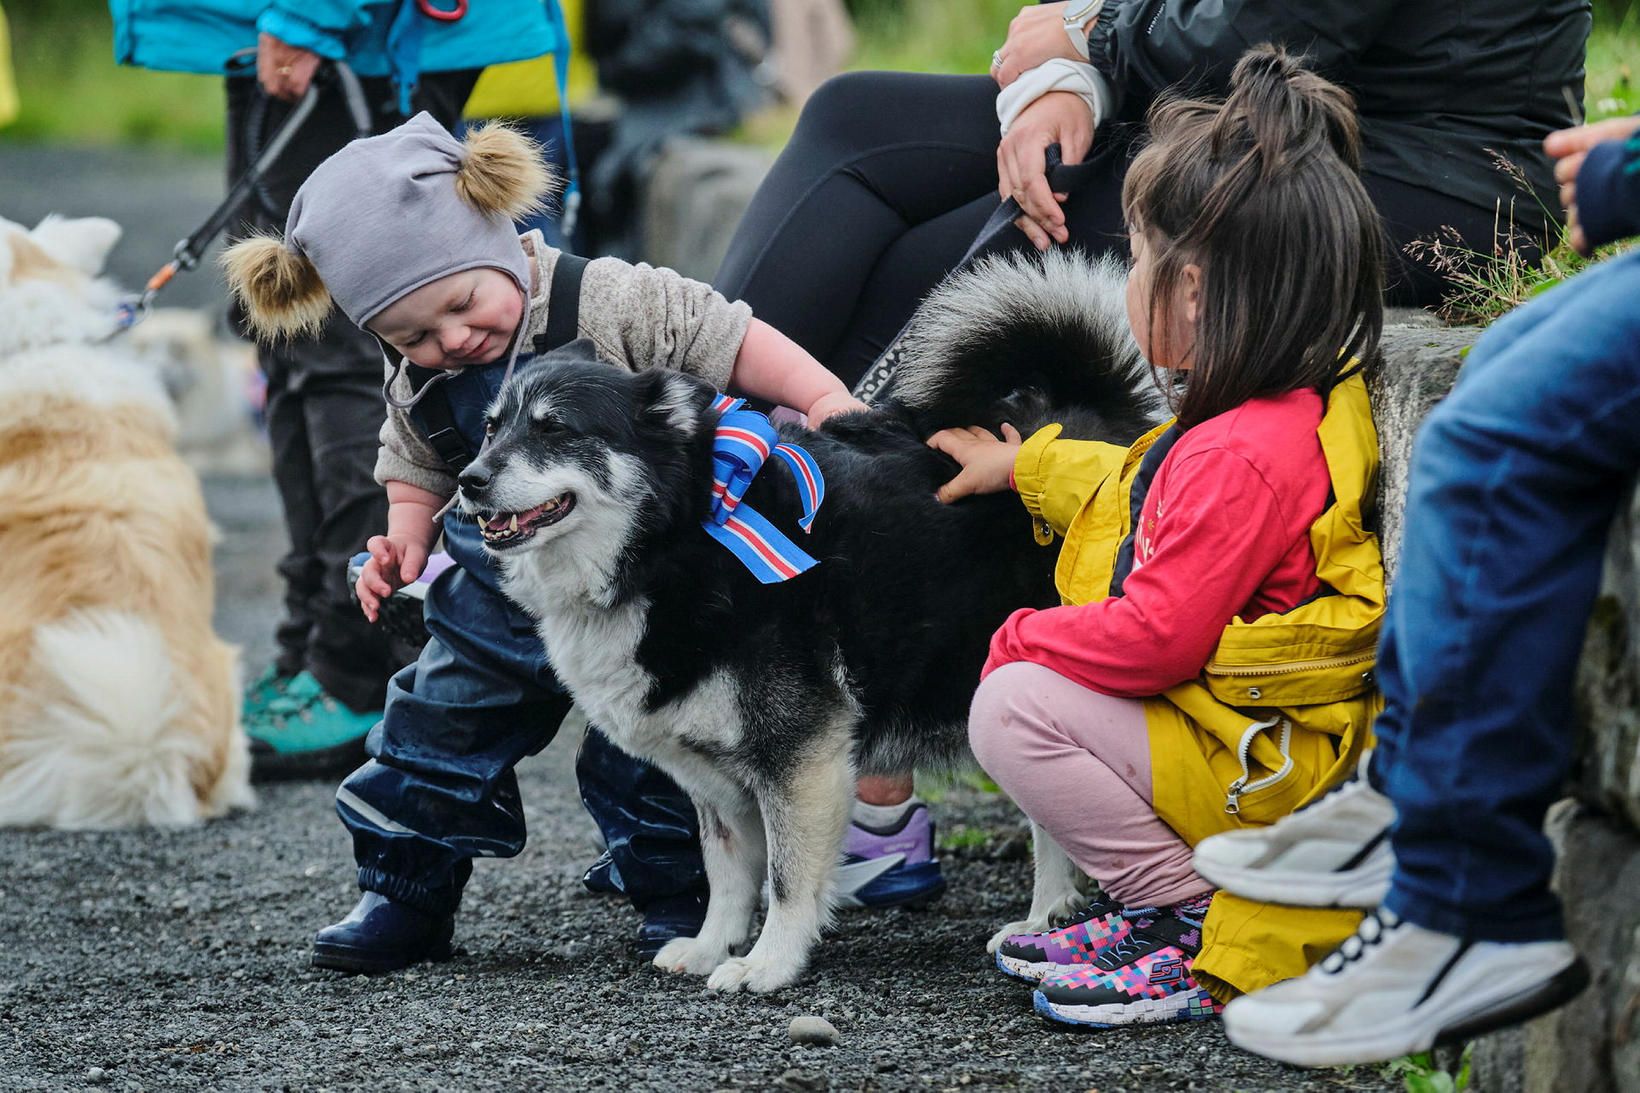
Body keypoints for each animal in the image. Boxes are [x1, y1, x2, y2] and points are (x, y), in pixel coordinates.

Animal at [455, 251, 1161, 991]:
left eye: (555, 428)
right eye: (491, 428)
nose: (469, 480)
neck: (677, 535)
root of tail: (1088, 417)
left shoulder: (800, 754)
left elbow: (789, 876)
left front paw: (768, 962)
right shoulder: (714, 775)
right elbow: (727, 873)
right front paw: (711, 945)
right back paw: (1045, 918)